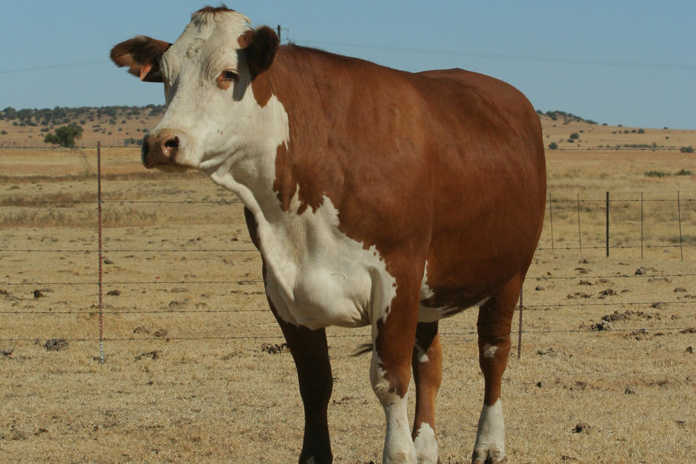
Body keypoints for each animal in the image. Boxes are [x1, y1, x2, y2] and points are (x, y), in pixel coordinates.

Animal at [110, 6, 546, 464]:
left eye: (228, 73)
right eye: (166, 74)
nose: (161, 142)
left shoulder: (398, 278)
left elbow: (390, 379)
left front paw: (399, 451)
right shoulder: (283, 290)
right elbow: (315, 384)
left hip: (509, 272)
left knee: (493, 353)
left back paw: (489, 443)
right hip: (433, 293)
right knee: (430, 361)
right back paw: (426, 445)